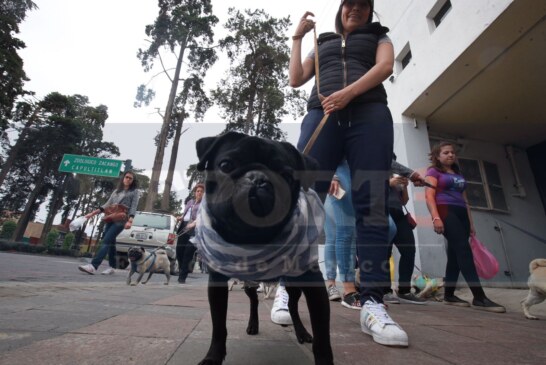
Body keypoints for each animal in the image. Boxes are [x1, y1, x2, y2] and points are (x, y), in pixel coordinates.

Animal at [193, 132, 334, 364]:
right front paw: (213, 357)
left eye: (287, 176)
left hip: (293, 284)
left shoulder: (314, 286)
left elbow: (323, 339)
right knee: (254, 301)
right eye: (225, 165)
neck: (252, 237)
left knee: (292, 306)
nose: (258, 178)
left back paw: (301, 332)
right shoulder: (217, 284)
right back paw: (253, 324)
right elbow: (218, 326)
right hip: (250, 284)